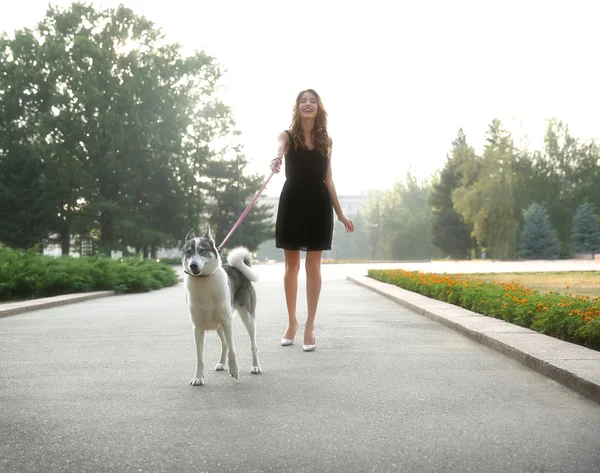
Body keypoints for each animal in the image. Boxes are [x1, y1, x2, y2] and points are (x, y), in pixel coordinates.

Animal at [180, 227, 260, 386]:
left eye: (202, 250)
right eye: (189, 252)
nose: (193, 265)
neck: (204, 280)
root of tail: (237, 268)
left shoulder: (227, 322)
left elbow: (233, 350)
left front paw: (234, 370)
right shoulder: (197, 328)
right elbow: (199, 357)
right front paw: (198, 377)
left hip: (248, 319)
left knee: (252, 344)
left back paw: (255, 367)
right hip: (218, 327)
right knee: (224, 344)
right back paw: (222, 364)